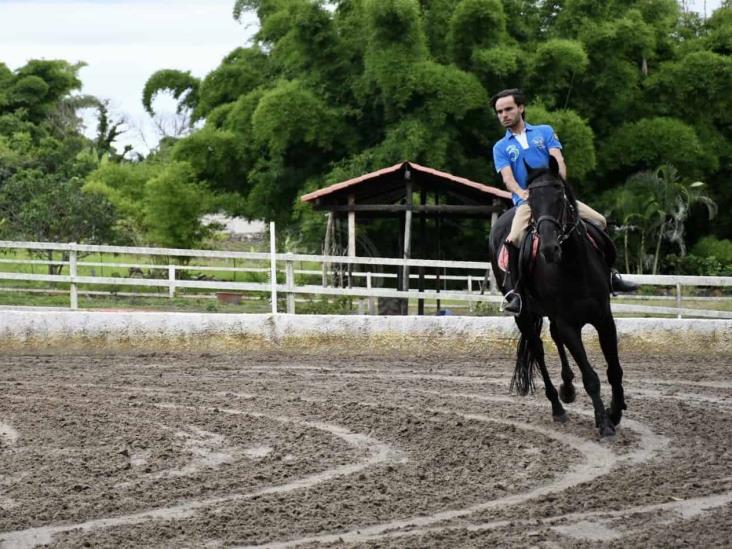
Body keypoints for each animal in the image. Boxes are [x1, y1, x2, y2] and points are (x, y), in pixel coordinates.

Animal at [492, 158, 624, 436]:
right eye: (531, 200)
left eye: (559, 195)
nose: (549, 248)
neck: (574, 266)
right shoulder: (568, 325)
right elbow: (591, 377)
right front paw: (604, 423)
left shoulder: (604, 319)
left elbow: (614, 370)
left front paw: (615, 412)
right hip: (524, 315)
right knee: (538, 351)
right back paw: (557, 406)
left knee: (553, 337)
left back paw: (568, 388)